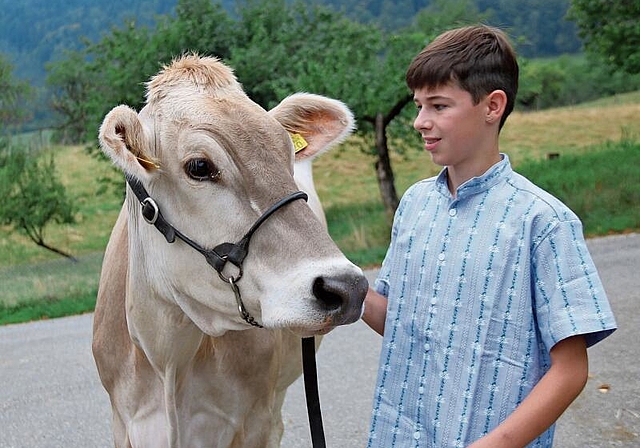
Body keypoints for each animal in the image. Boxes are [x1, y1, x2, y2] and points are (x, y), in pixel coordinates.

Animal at [92, 53, 368, 448]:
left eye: (288, 155)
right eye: (199, 166)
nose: (346, 286)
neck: (166, 357)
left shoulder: (254, 421)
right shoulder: (125, 425)